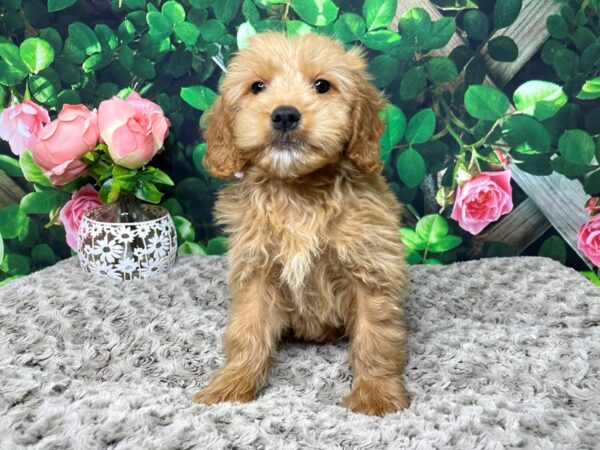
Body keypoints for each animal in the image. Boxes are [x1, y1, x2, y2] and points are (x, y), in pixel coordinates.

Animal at [195, 33, 410, 416]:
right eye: (257, 87)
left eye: (322, 85)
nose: (284, 114)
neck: (298, 189)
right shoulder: (257, 269)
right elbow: (247, 332)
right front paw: (231, 386)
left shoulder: (371, 268)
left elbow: (375, 335)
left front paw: (376, 395)